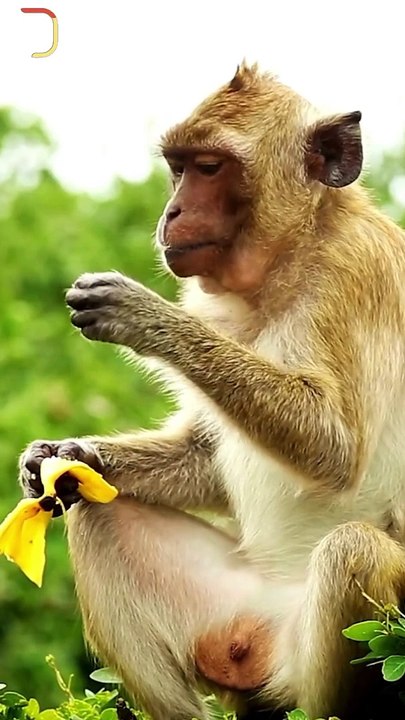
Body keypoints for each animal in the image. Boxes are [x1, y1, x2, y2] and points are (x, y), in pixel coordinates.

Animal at [18, 62, 405, 720]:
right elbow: (204, 460)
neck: (289, 258)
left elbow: (333, 447)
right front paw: (61, 455)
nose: (171, 212)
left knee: (355, 550)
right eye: (178, 167)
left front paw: (145, 318)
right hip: (241, 618)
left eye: (209, 167)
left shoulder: (353, 272)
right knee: (93, 511)